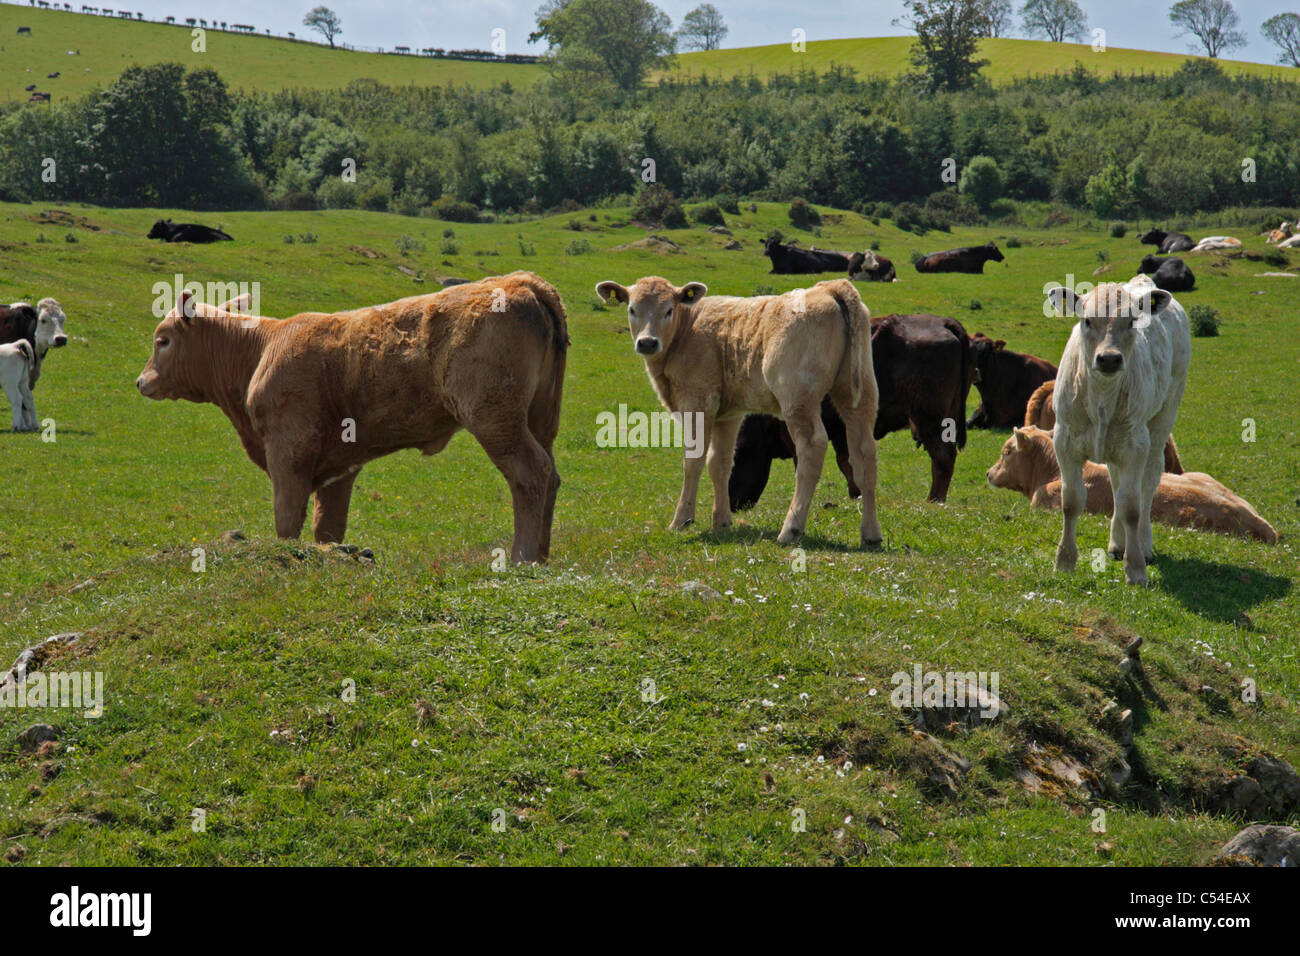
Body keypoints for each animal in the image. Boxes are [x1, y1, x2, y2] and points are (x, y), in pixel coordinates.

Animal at [135, 273, 568, 563]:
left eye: (163, 340)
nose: (141, 381)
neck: (260, 350)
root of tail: (523, 281)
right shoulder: (340, 465)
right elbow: (326, 525)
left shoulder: (287, 451)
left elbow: (287, 518)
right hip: (538, 419)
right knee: (550, 476)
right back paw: (542, 556)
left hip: (497, 420)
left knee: (530, 474)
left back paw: (522, 557)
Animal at [594, 276, 882, 549]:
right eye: (632, 309)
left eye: (668, 310)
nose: (647, 342)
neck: (686, 330)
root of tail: (829, 287)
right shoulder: (728, 415)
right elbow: (719, 463)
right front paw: (721, 521)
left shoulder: (697, 402)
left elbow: (693, 460)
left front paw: (682, 520)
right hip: (859, 392)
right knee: (864, 452)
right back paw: (870, 535)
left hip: (798, 397)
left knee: (812, 447)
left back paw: (791, 529)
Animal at [728, 313, 974, 509]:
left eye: (739, 451)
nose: (733, 504)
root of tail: (943, 322)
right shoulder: (841, 431)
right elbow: (847, 462)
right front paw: (856, 494)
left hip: (929, 421)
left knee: (943, 457)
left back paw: (933, 500)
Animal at [1046, 276, 1191, 585]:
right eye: (1087, 320)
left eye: (1132, 321)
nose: (1109, 359)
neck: (1101, 397)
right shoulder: (1064, 440)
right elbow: (1071, 500)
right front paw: (1064, 561)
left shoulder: (1135, 445)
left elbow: (1131, 507)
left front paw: (1135, 569)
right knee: (1116, 482)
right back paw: (1117, 542)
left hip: (1161, 420)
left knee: (1148, 484)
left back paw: (1143, 545)